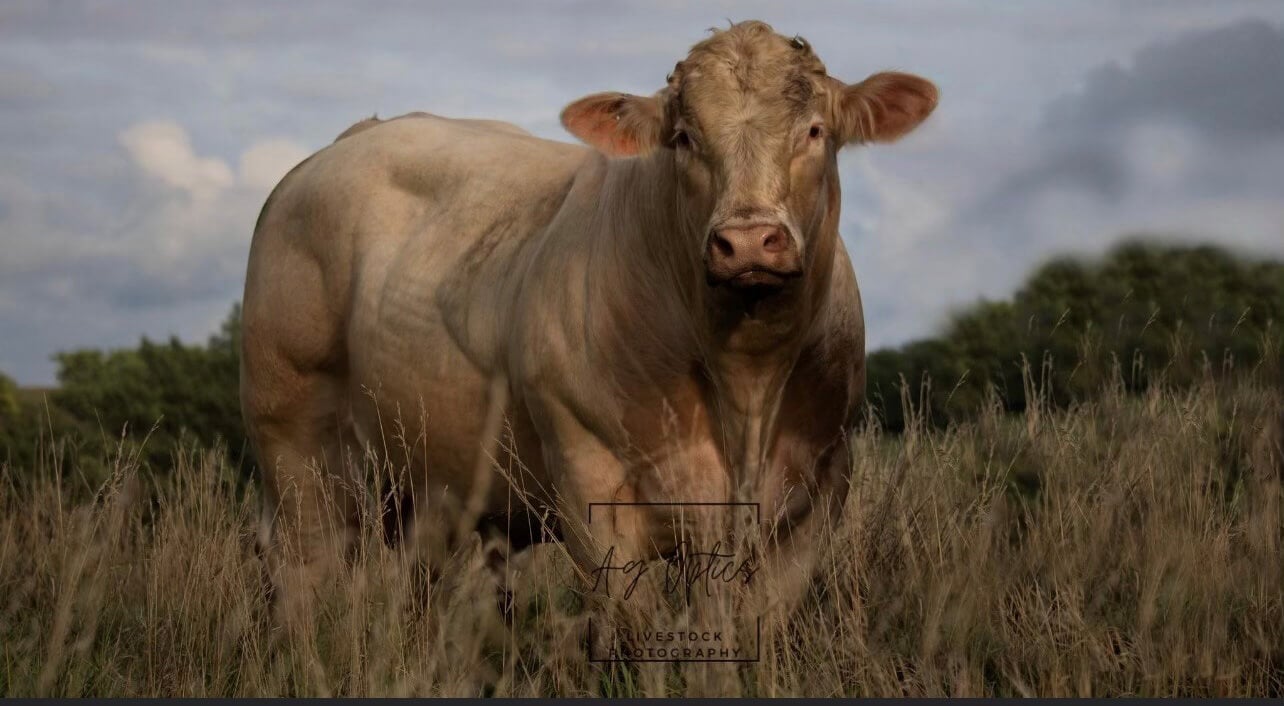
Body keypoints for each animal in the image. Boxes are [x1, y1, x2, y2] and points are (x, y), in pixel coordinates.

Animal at [240, 20, 937, 622]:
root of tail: (349, 141)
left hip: (422, 484)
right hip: (296, 445)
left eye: (815, 131)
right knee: (306, 572)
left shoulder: (817, 488)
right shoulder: (589, 487)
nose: (746, 240)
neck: (745, 387)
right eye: (684, 138)